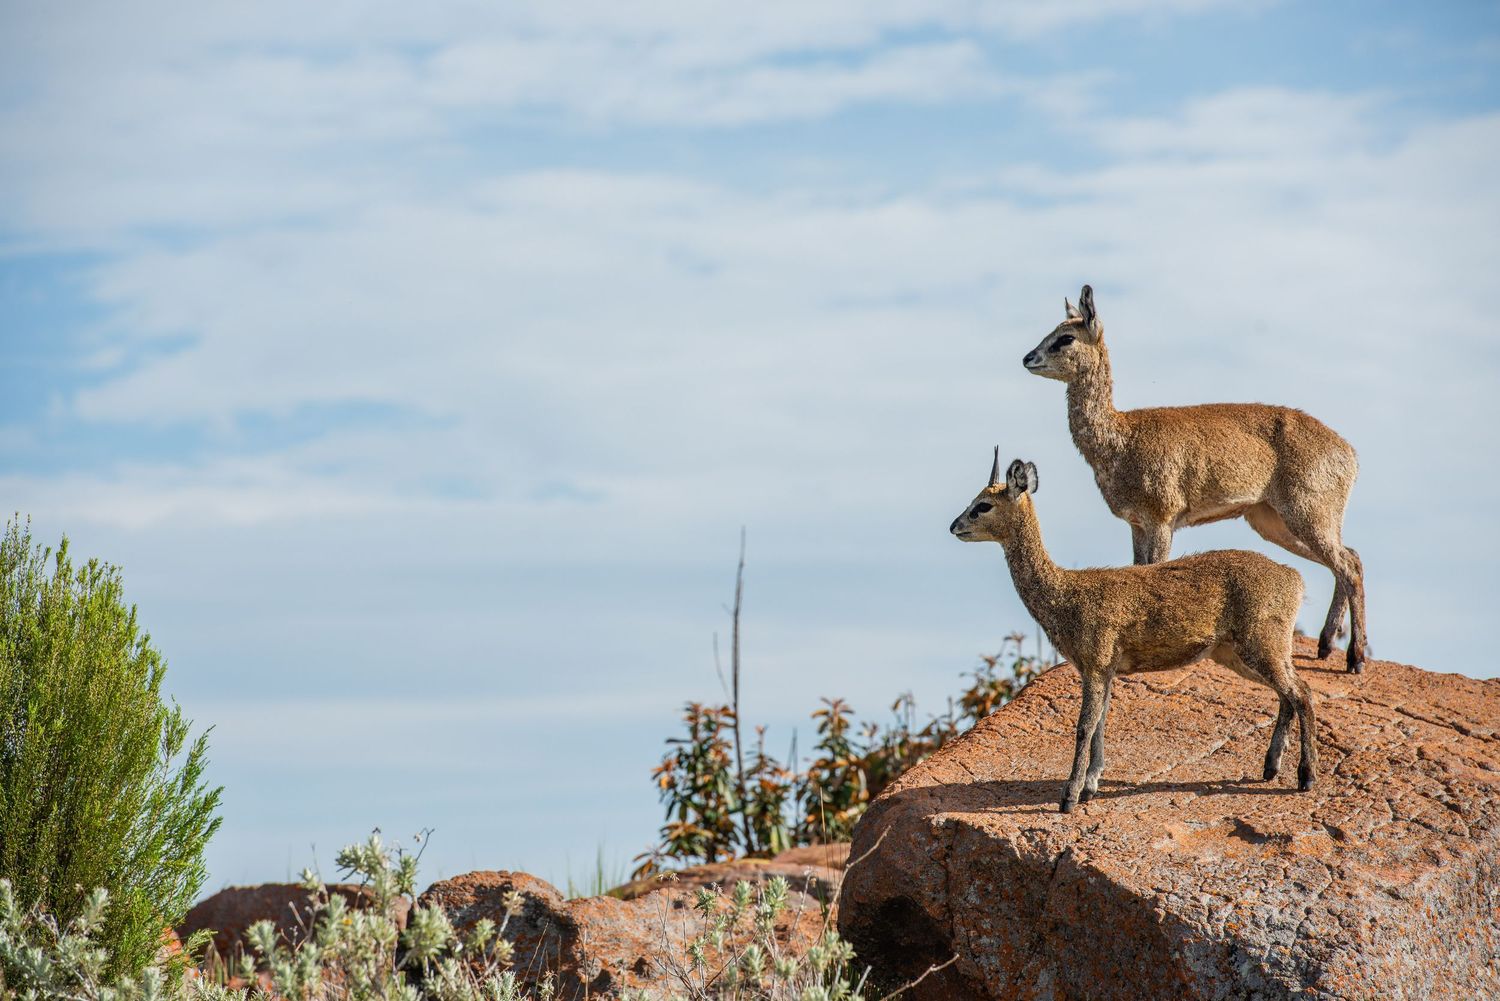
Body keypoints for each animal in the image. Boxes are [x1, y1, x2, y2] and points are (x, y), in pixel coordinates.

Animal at [950, 449, 1317, 813]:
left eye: (983, 504)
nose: (954, 526)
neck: (1065, 596)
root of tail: (1295, 578)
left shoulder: (1096, 664)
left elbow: (1084, 727)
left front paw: (1069, 797)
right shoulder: (1105, 669)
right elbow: (1100, 723)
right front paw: (1090, 786)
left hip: (1259, 643)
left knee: (1302, 692)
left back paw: (1306, 776)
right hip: (1237, 651)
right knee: (1289, 692)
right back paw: (1270, 768)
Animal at [1021, 285, 1367, 673]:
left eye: (1065, 337)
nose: (1028, 358)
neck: (1119, 439)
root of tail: (1350, 453)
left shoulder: (1162, 517)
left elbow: (1153, 572)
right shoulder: (1136, 523)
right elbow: (1138, 569)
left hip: (1307, 512)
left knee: (1349, 565)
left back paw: (1355, 659)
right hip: (1272, 520)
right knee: (1350, 556)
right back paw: (1325, 646)